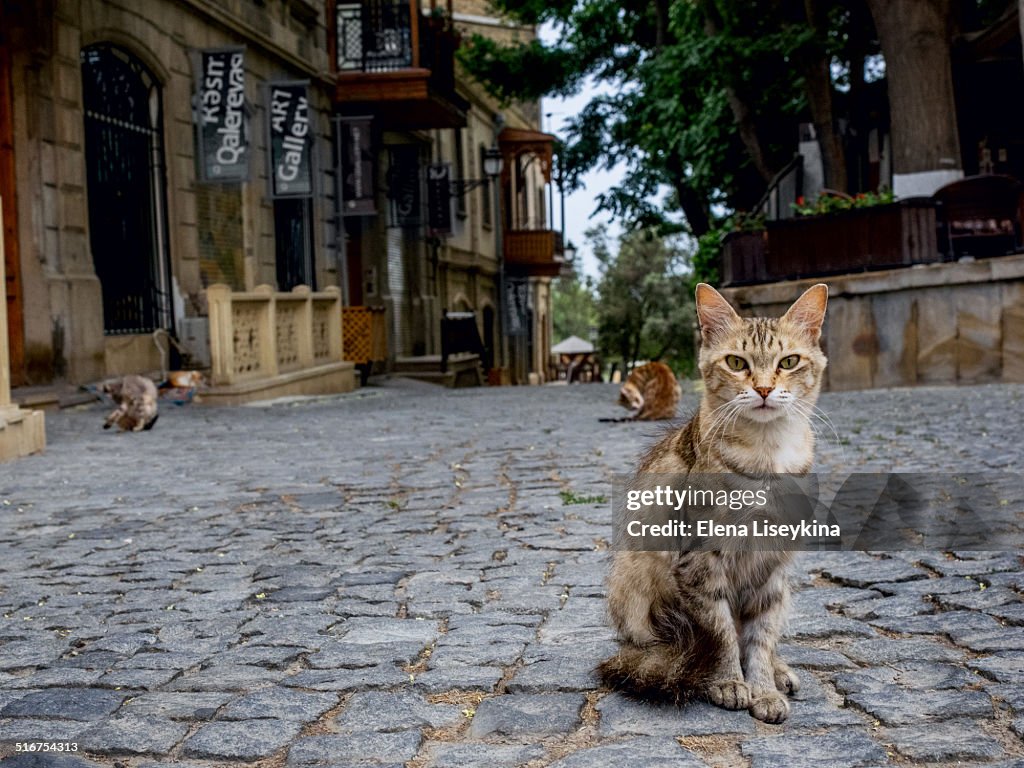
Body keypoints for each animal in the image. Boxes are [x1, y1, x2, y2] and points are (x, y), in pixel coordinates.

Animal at [598, 280, 827, 720]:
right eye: (736, 363)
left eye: (789, 361)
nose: (764, 389)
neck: (766, 456)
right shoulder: (700, 563)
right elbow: (721, 633)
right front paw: (728, 682)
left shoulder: (772, 568)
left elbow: (760, 638)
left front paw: (763, 687)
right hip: (634, 591)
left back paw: (780, 672)